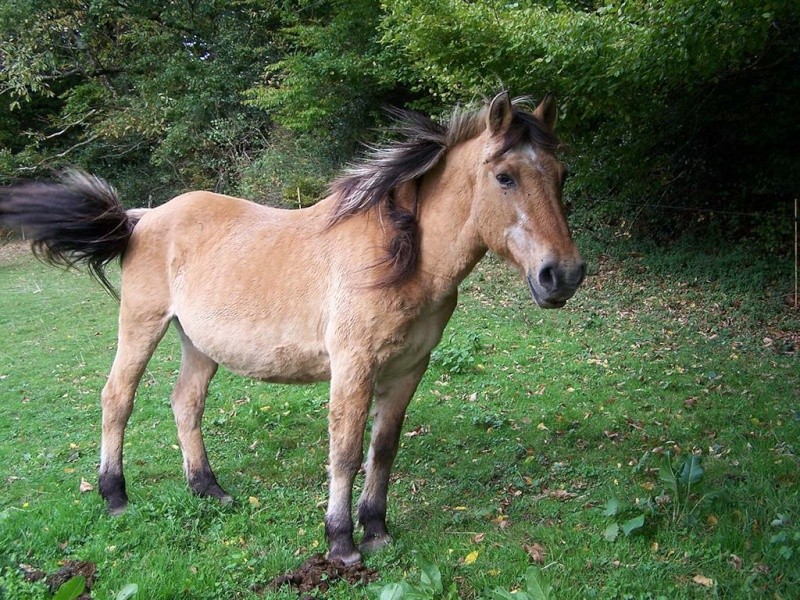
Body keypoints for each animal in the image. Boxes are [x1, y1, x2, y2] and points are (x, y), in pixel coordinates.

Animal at [1, 91, 588, 564]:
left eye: (562, 176)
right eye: (504, 177)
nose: (562, 275)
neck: (401, 255)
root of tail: (142, 218)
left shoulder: (407, 371)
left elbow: (383, 449)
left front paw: (376, 529)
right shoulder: (353, 369)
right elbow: (345, 451)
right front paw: (341, 541)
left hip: (199, 343)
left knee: (185, 403)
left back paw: (208, 489)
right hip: (142, 326)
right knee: (117, 398)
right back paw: (115, 495)